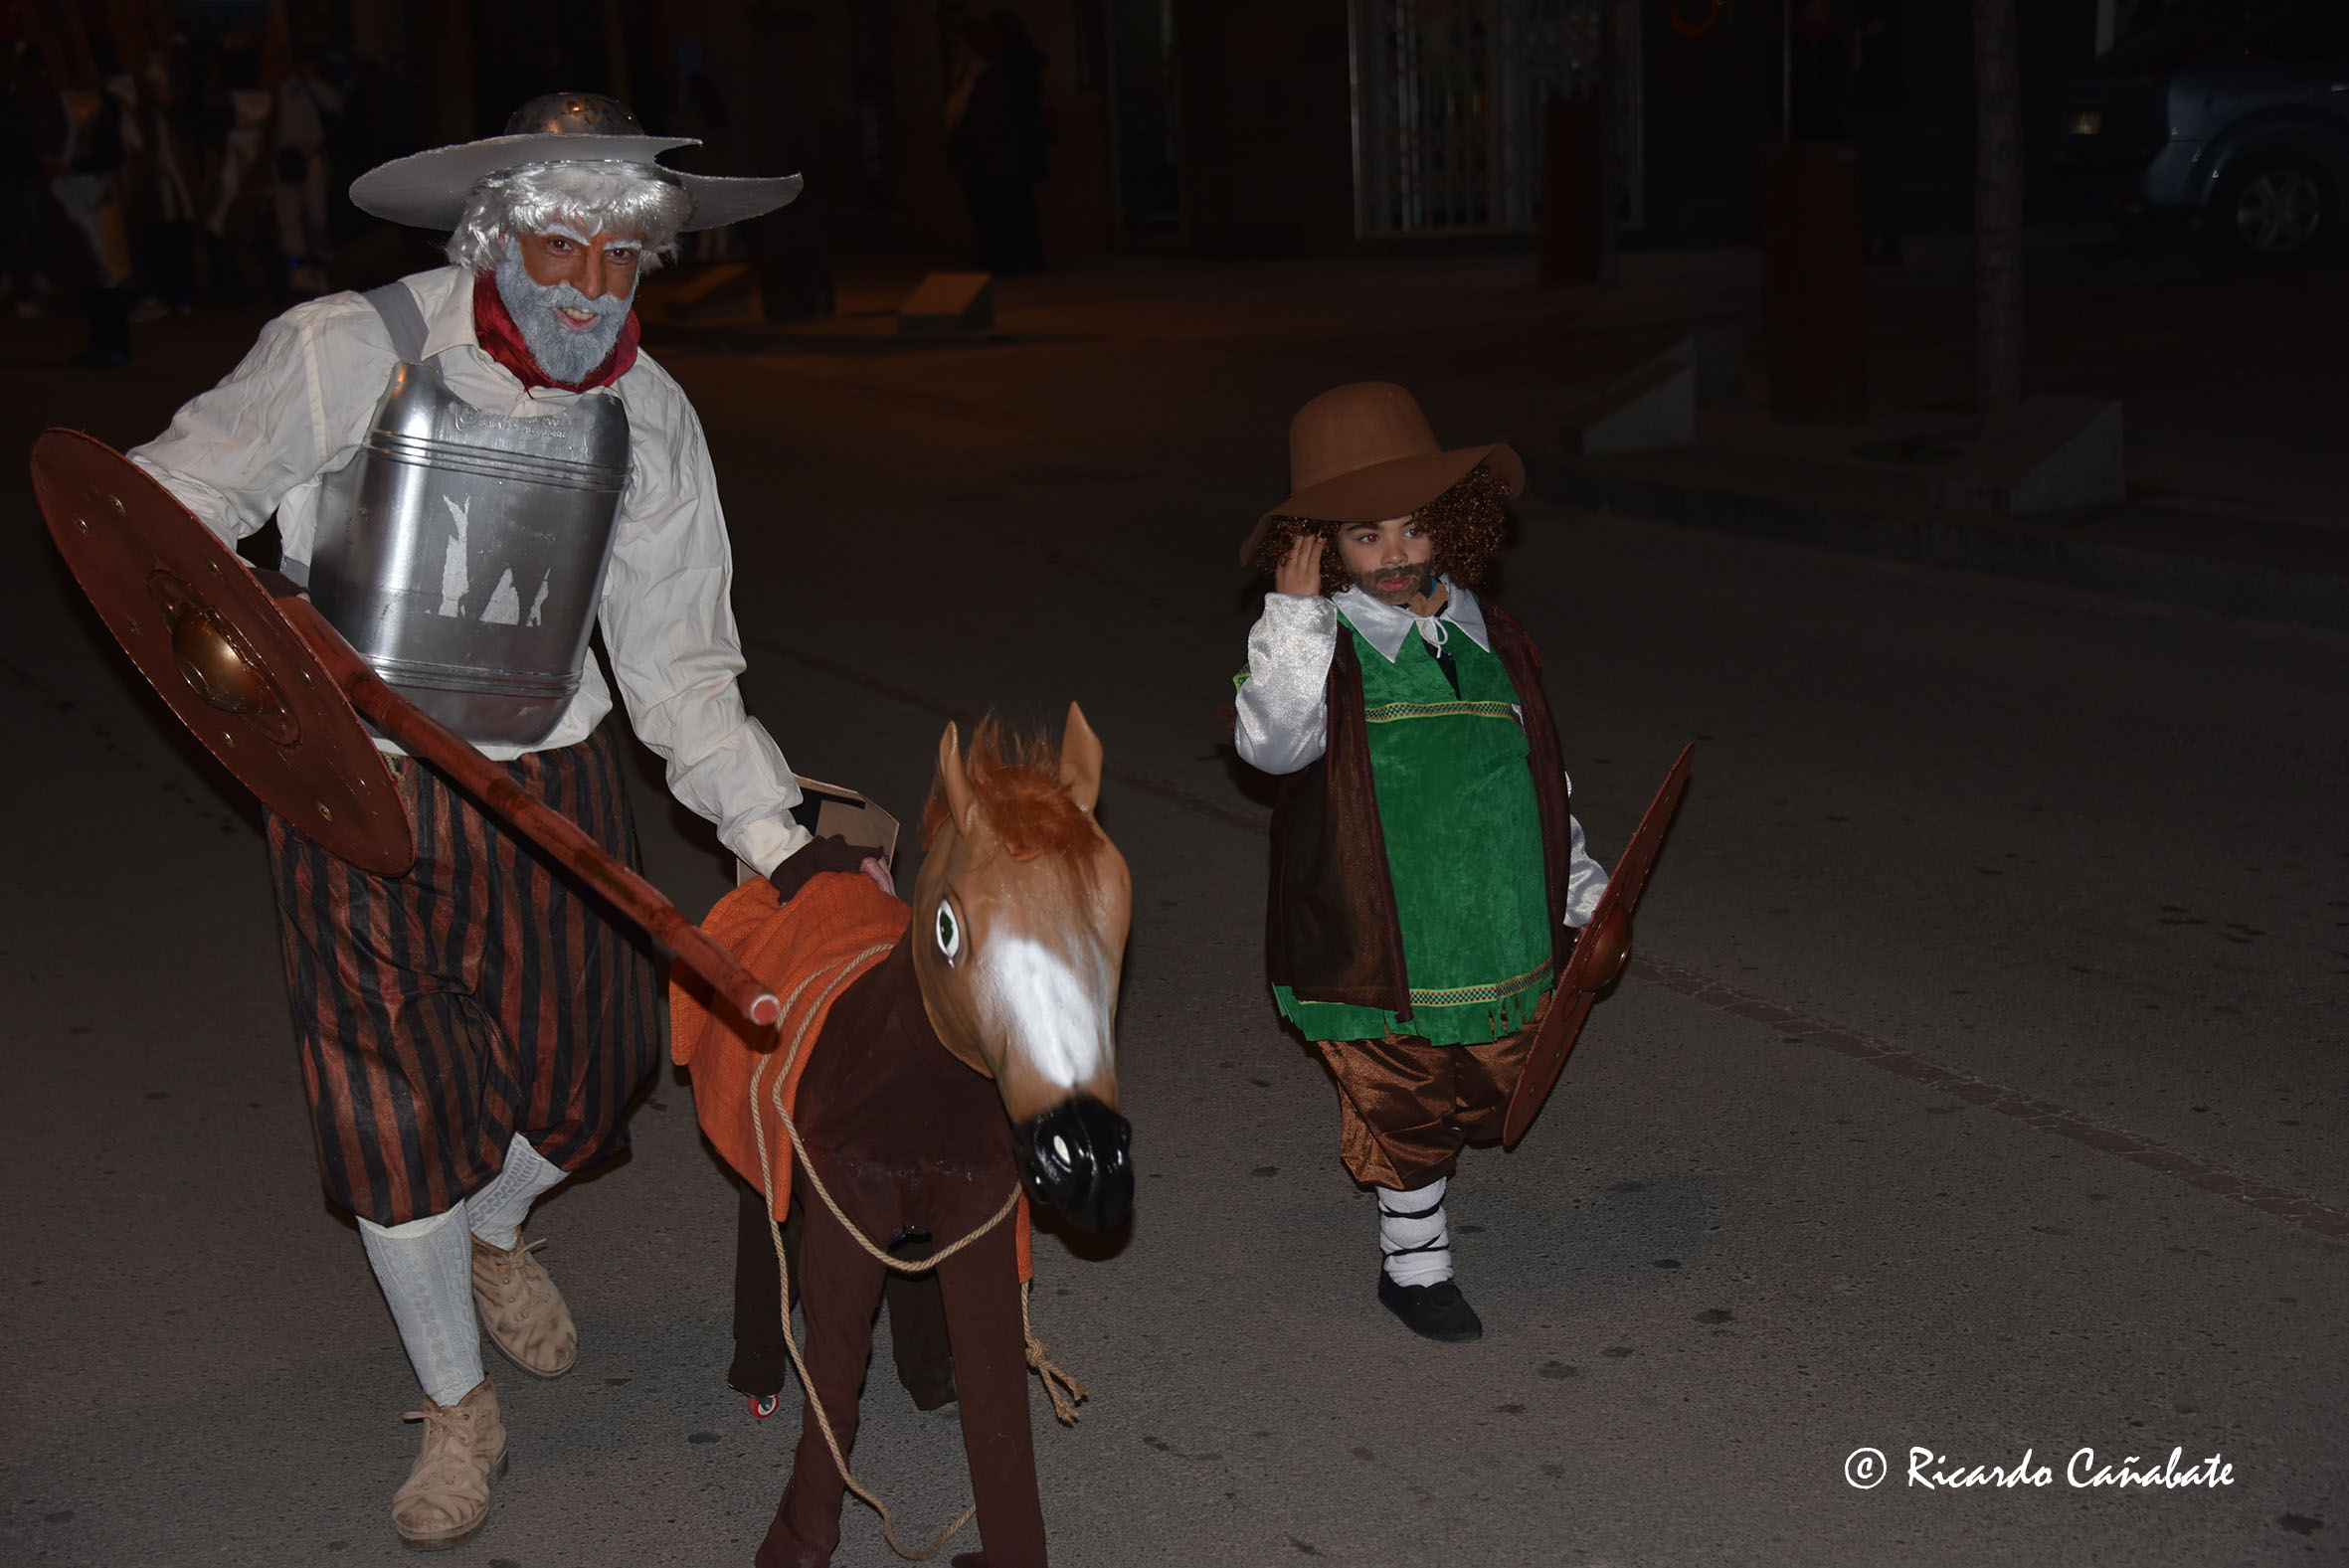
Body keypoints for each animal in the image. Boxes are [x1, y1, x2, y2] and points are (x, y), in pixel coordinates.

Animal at [672, 703, 1134, 1568]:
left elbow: (995, 1393)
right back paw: (759, 1373)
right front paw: (794, 1542)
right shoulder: (841, 1211)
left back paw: (926, 1376)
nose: (1087, 1160)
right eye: (947, 926)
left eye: (1120, 912)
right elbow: (834, 1372)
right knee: (763, 1218)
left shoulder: (980, 1217)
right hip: (769, 1159)